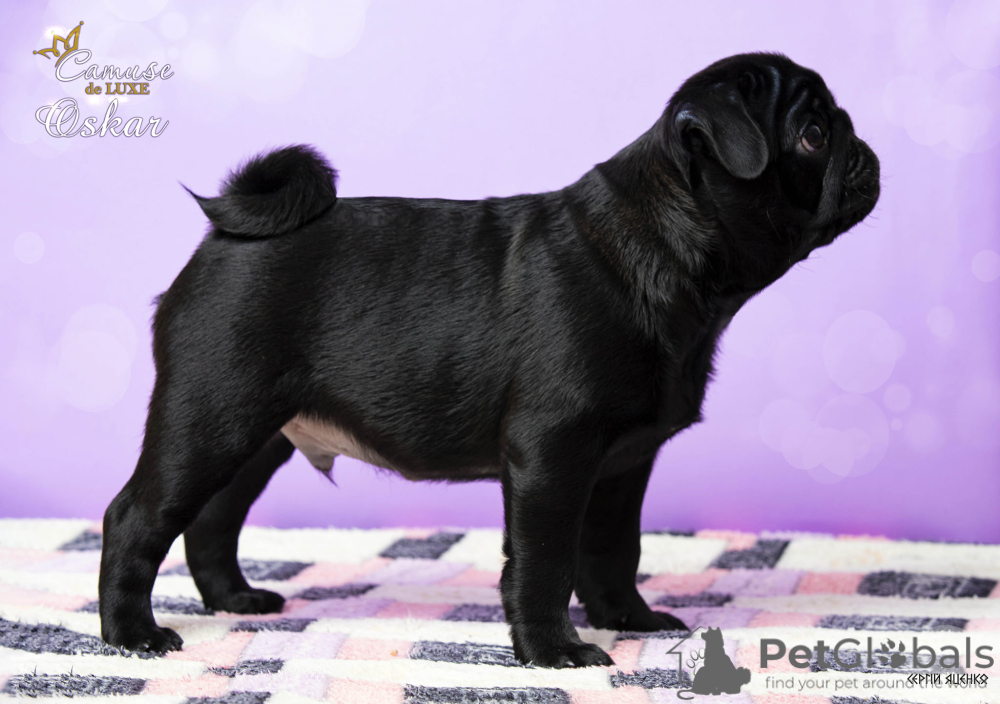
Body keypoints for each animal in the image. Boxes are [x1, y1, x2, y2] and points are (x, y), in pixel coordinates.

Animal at [98, 52, 879, 668]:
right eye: (813, 135)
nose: (866, 151)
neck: (663, 243)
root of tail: (224, 237)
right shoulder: (552, 456)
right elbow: (544, 562)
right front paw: (553, 652)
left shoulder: (623, 464)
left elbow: (612, 549)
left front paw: (627, 620)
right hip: (212, 417)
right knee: (136, 517)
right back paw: (132, 635)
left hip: (257, 436)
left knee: (212, 519)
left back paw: (233, 601)